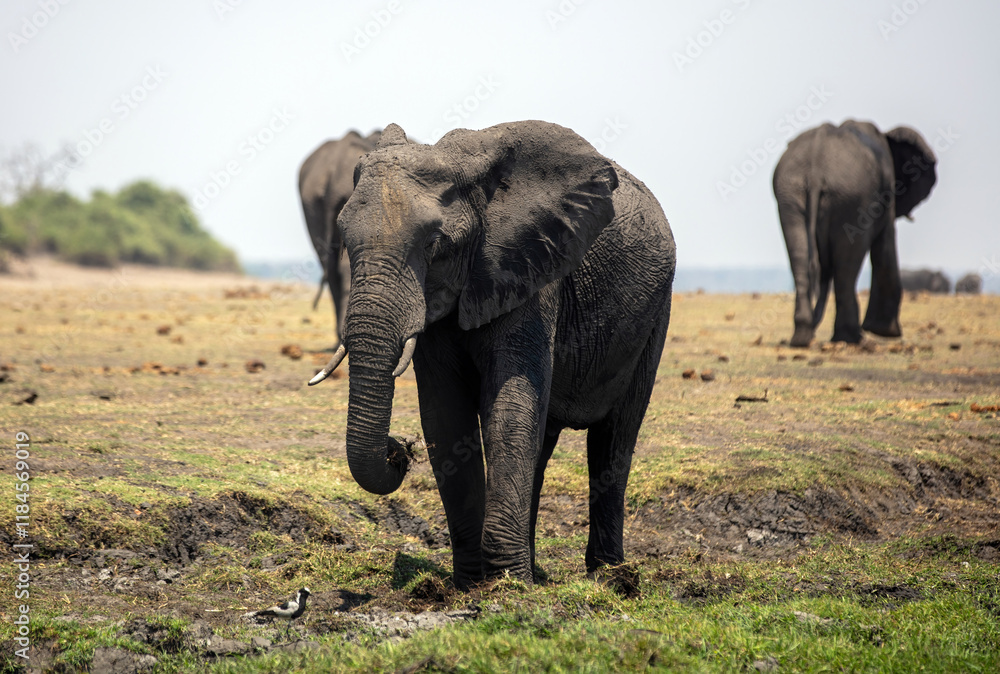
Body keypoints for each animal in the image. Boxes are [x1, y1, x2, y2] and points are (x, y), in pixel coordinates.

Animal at [308, 121, 676, 588]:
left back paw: (610, 578)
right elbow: (446, 417)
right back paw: (538, 569)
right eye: (342, 239)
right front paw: (472, 584)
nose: (399, 448)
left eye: (434, 244)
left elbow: (508, 405)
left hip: (656, 311)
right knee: (542, 442)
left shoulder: (528, 272)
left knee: (615, 439)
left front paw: (506, 586)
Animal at [773, 120, 937, 346]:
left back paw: (802, 336)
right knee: (847, 264)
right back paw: (850, 337)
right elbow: (885, 244)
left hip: (790, 194)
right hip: (853, 198)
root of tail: (816, 170)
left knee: (800, 258)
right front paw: (886, 331)